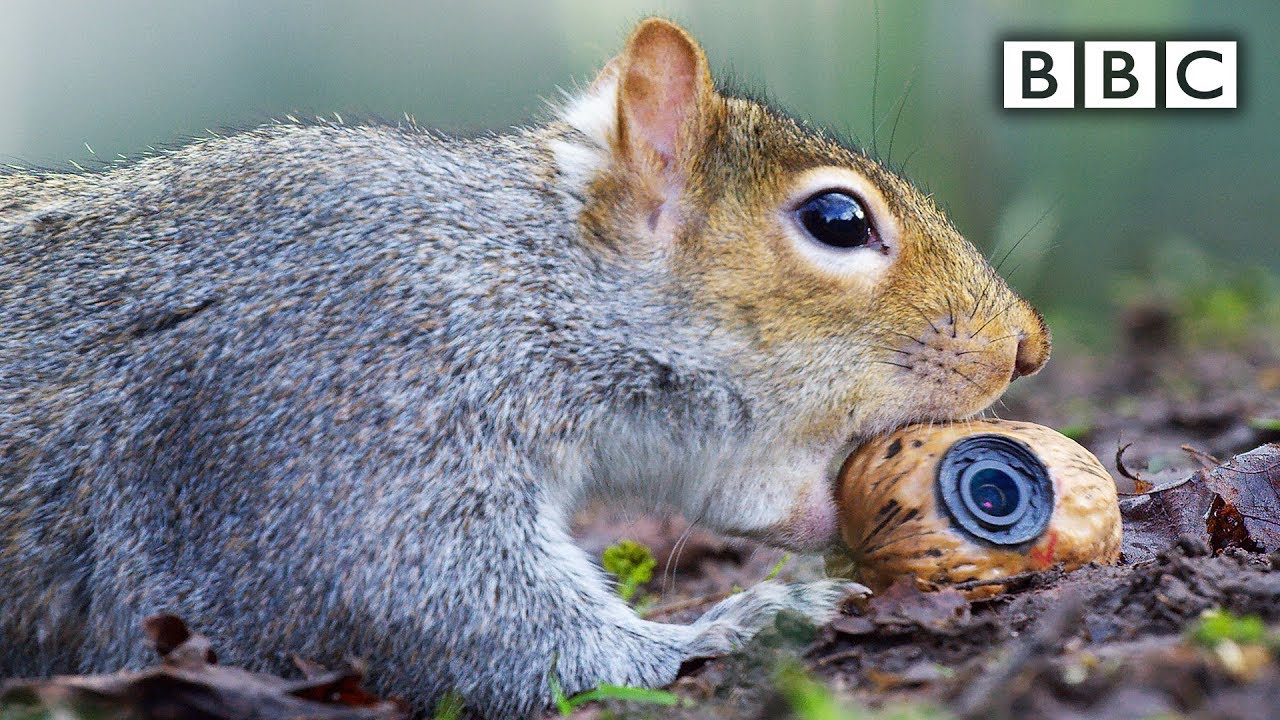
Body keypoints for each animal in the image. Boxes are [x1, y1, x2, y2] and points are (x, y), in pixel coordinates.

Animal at [0, 17, 1049, 718]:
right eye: (837, 220)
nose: (1027, 345)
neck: (520, 284)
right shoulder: (327, 408)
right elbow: (428, 603)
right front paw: (740, 622)